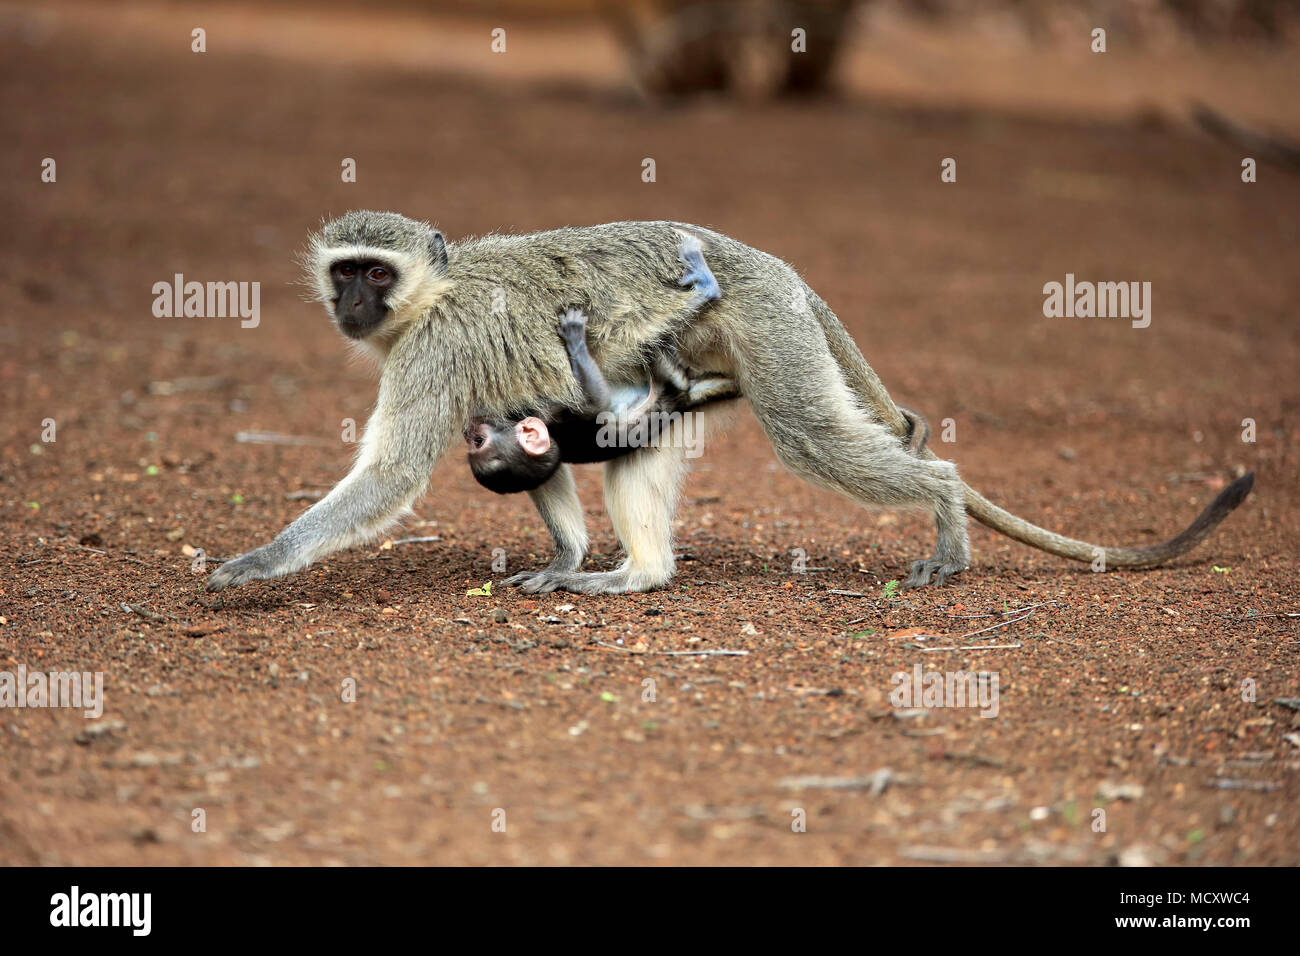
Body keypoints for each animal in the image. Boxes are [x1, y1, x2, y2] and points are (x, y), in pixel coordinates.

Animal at [467, 310, 738, 496]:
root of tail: (679, 400)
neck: (555, 437)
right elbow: (598, 401)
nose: (467, 430)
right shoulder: (564, 418)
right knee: (664, 366)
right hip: (671, 381)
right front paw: (575, 338)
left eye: (476, 441)